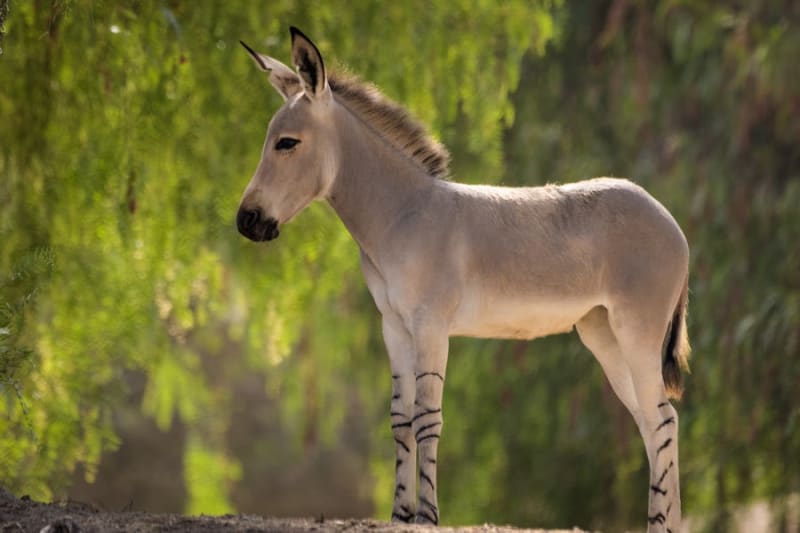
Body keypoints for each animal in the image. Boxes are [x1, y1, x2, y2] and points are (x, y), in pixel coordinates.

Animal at [236, 27, 690, 533]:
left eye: (287, 143)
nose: (245, 222)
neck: (402, 214)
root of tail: (667, 216)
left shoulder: (431, 324)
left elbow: (426, 418)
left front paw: (427, 515)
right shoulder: (394, 326)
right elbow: (399, 420)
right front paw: (400, 514)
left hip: (637, 330)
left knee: (661, 421)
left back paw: (660, 523)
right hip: (603, 333)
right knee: (656, 421)